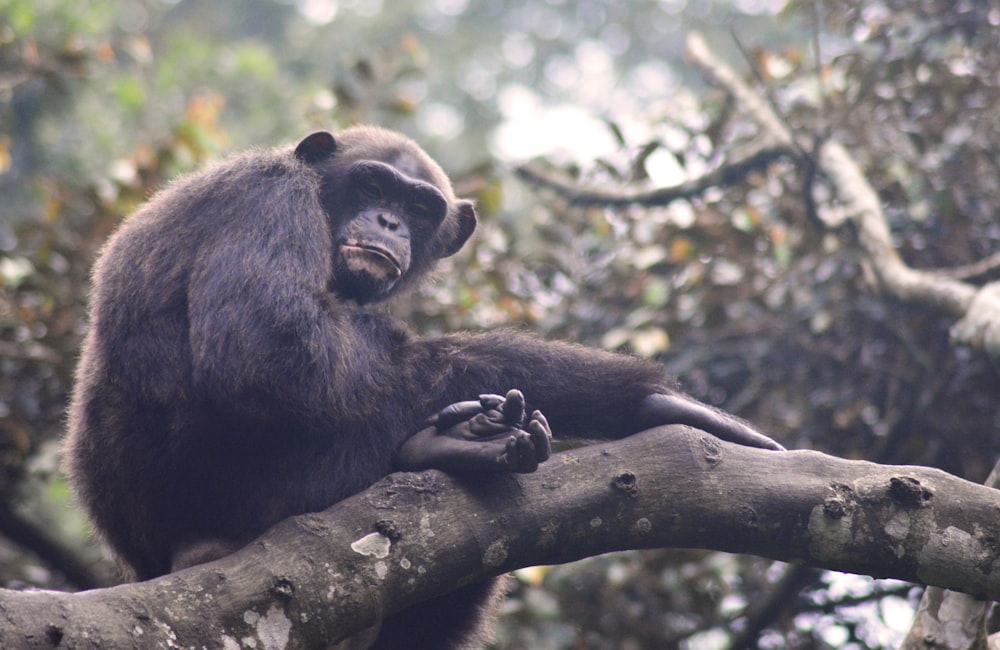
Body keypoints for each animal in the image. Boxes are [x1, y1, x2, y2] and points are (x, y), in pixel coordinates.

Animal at [64, 124, 780, 644]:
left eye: (416, 205)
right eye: (372, 184)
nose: (387, 222)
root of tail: (173, 556)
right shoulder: (265, 200)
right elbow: (269, 353)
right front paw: (637, 397)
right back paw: (451, 443)